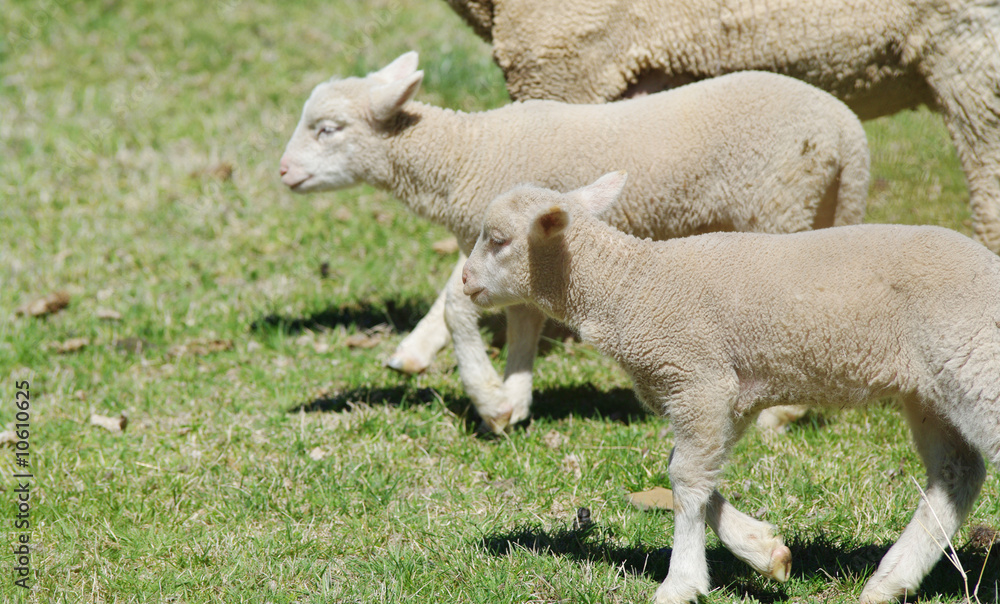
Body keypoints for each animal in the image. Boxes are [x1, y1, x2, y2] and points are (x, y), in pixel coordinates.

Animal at [279, 51, 870, 433]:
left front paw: (486, 396)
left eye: (328, 129)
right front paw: (511, 398)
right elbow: (522, 319)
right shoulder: (526, 257)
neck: (466, 154)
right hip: (817, 204)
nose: (282, 171)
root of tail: (849, 130)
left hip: (779, 204)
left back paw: (779, 415)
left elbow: (455, 304)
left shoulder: (502, 241)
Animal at [461, 171, 1000, 603]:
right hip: (930, 390)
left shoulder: (699, 378)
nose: (464, 280)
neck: (630, 287)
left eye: (499, 240)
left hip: (976, 361)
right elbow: (690, 470)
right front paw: (766, 552)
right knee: (956, 473)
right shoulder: (728, 392)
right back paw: (889, 582)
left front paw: (679, 584)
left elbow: (687, 479)